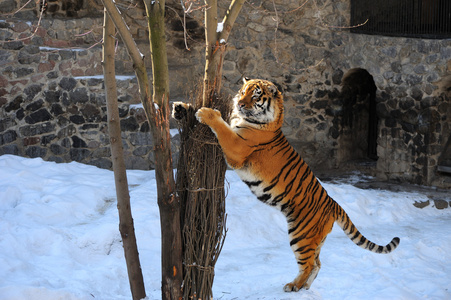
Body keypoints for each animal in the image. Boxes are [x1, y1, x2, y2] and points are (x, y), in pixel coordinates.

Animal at [172, 78, 400, 292]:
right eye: (242, 91)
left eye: (255, 95)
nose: (240, 103)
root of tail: (333, 204)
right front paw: (180, 107)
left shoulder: (237, 147)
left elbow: (222, 127)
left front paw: (206, 113)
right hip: (315, 239)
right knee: (318, 263)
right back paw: (305, 287)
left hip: (301, 235)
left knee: (308, 264)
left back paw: (293, 286)